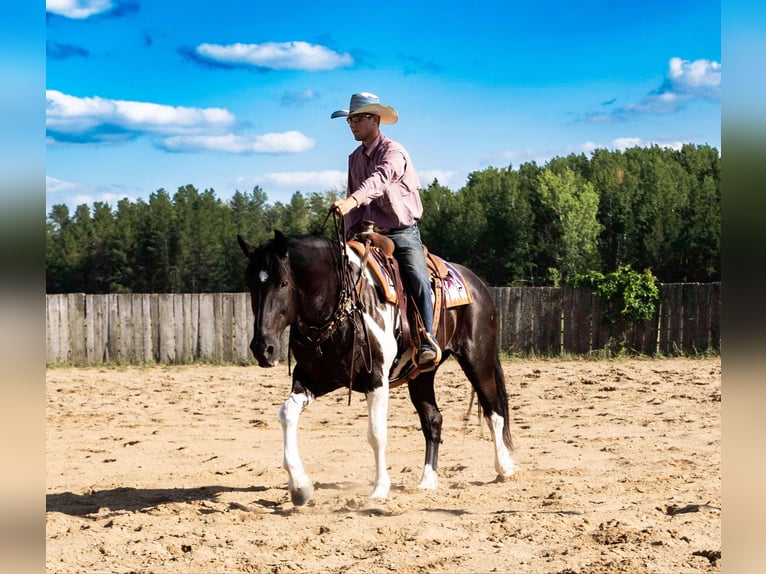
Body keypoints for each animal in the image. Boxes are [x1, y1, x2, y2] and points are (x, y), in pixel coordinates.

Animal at [238, 227, 516, 506]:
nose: (263, 348)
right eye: (250, 284)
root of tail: (477, 283)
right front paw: (299, 486)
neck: (340, 303)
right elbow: (287, 414)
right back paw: (427, 480)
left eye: (283, 283)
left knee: (493, 410)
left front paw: (380, 488)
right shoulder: (313, 378)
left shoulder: (376, 379)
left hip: (477, 359)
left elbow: (376, 433)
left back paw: (504, 468)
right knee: (433, 420)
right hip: (422, 375)